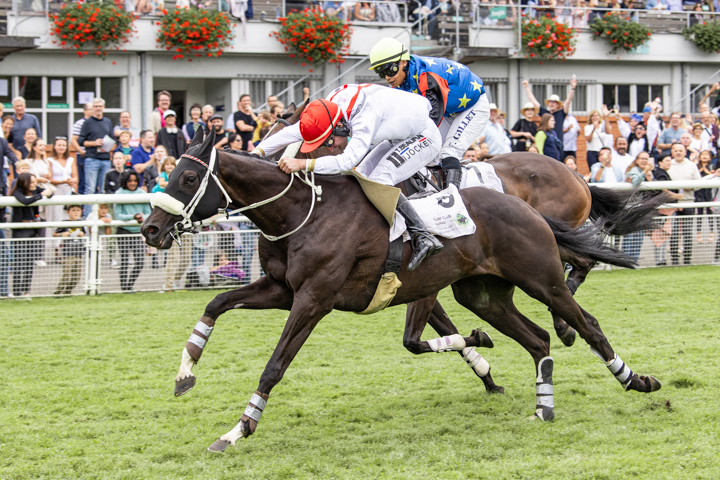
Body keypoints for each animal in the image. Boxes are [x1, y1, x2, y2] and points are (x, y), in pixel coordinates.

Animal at [138, 130, 660, 450]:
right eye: (169, 172)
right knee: (538, 338)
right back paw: (543, 406)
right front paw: (185, 371)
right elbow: (216, 302)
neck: (303, 210)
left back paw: (635, 379)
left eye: (188, 177)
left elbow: (274, 366)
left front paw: (238, 429)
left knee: (584, 321)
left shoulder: (314, 300)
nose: (149, 228)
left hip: (541, 278)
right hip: (483, 294)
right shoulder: (282, 288)